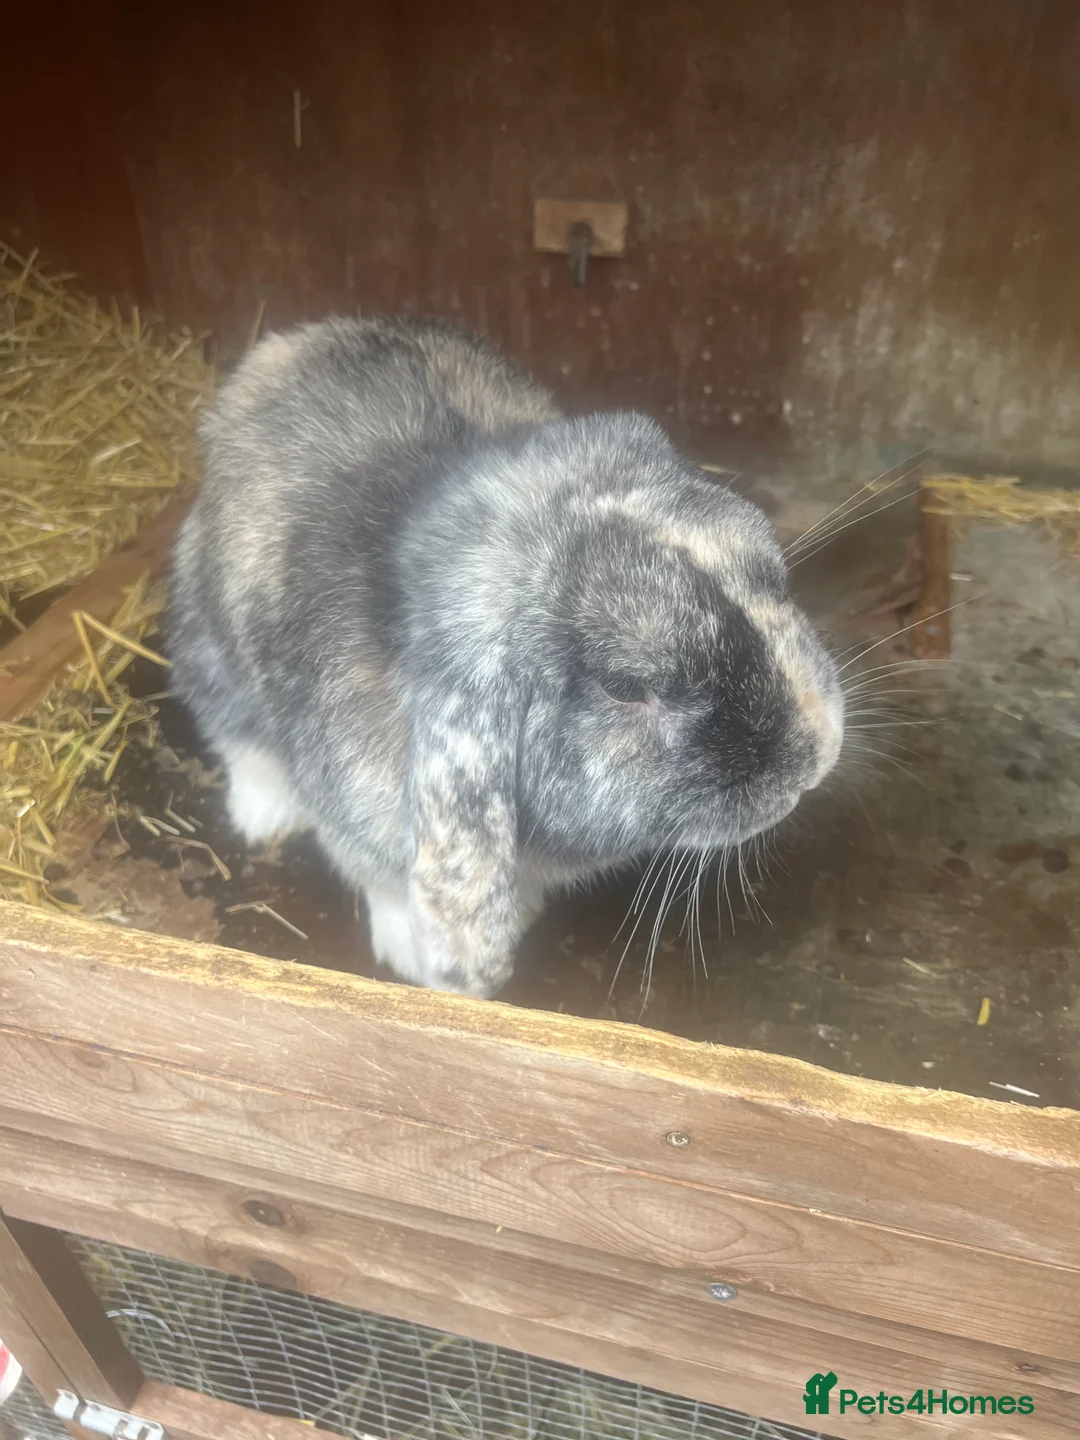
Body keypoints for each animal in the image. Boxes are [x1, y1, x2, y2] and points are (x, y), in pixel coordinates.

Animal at [167, 315, 844, 999]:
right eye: (626, 686)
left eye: (768, 573)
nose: (814, 754)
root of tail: (287, 347)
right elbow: (388, 886)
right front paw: (418, 962)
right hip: (205, 641)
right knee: (236, 731)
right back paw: (263, 815)